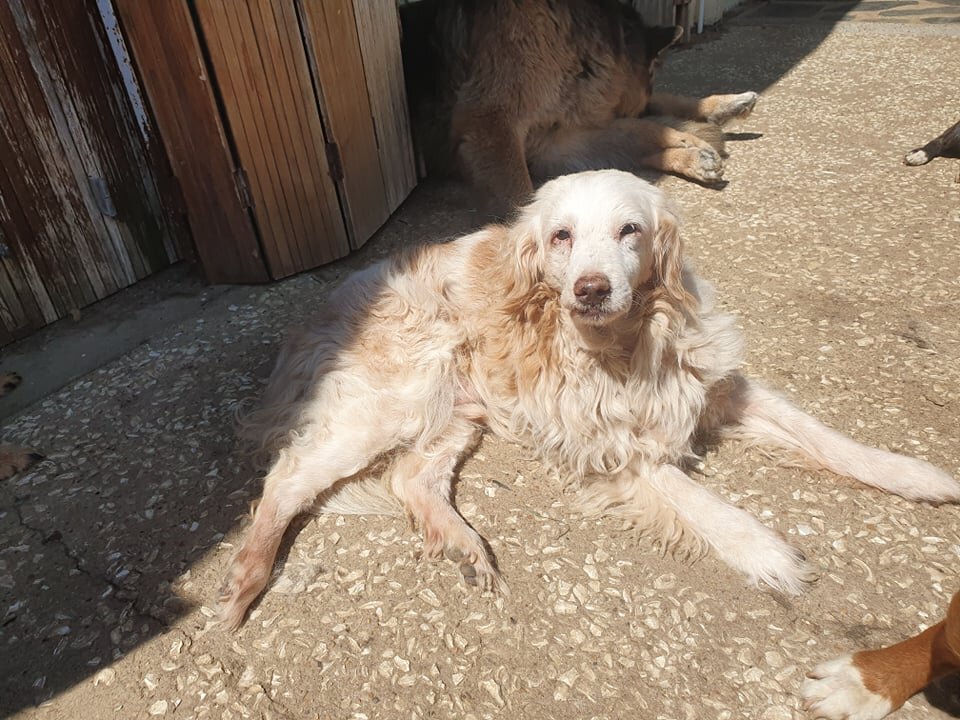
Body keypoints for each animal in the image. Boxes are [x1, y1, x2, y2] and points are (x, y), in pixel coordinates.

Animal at [217, 169, 959, 630]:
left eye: (631, 230)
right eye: (561, 236)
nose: (591, 289)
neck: (627, 349)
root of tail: (315, 314)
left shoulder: (717, 385)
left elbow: (825, 436)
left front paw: (913, 474)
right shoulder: (613, 452)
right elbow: (700, 499)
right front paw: (767, 553)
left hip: (454, 413)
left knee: (410, 479)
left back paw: (461, 544)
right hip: (396, 399)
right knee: (287, 477)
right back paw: (246, 580)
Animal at [401, 0, 759, 214]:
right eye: (650, 72)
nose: (643, 97)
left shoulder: (556, 138)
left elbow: (643, 127)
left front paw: (689, 142)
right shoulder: (494, 124)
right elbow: (520, 196)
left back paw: (725, 108)